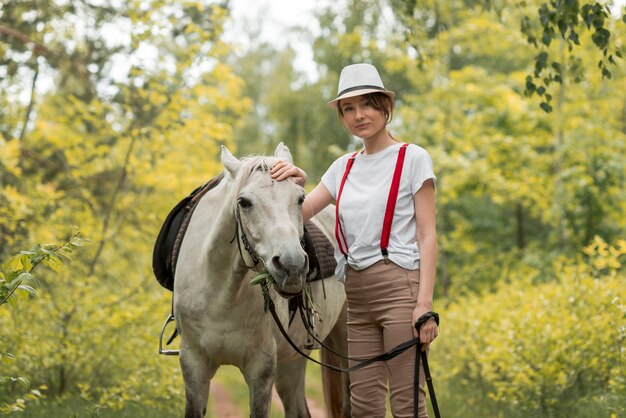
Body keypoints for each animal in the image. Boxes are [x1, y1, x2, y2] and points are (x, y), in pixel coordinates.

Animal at [173, 142, 348, 416]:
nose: (292, 265)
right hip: (292, 360)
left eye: (301, 199)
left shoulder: (261, 369)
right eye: (244, 202)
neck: (221, 294)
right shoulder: (193, 364)